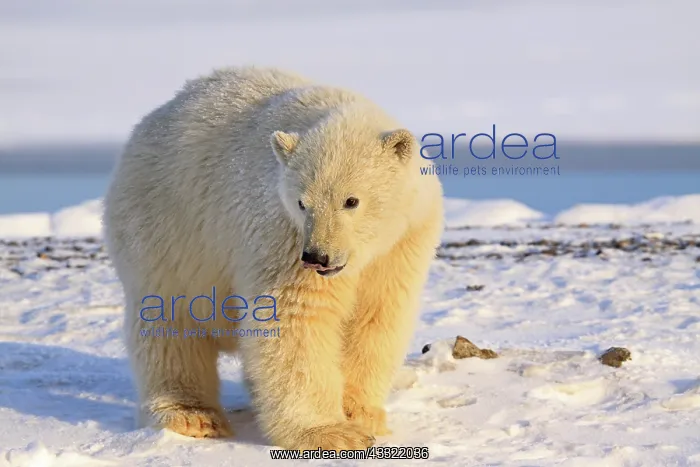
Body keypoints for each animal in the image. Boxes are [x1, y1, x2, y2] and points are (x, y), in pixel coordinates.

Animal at [103, 66, 444, 451]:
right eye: (302, 202)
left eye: (351, 200)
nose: (317, 256)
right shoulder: (282, 234)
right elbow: (296, 317)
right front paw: (330, 432)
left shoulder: (403, 241)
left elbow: (377, 315)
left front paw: (359, 413)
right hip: (166, 230)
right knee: (169, 322)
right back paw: (191, 415)